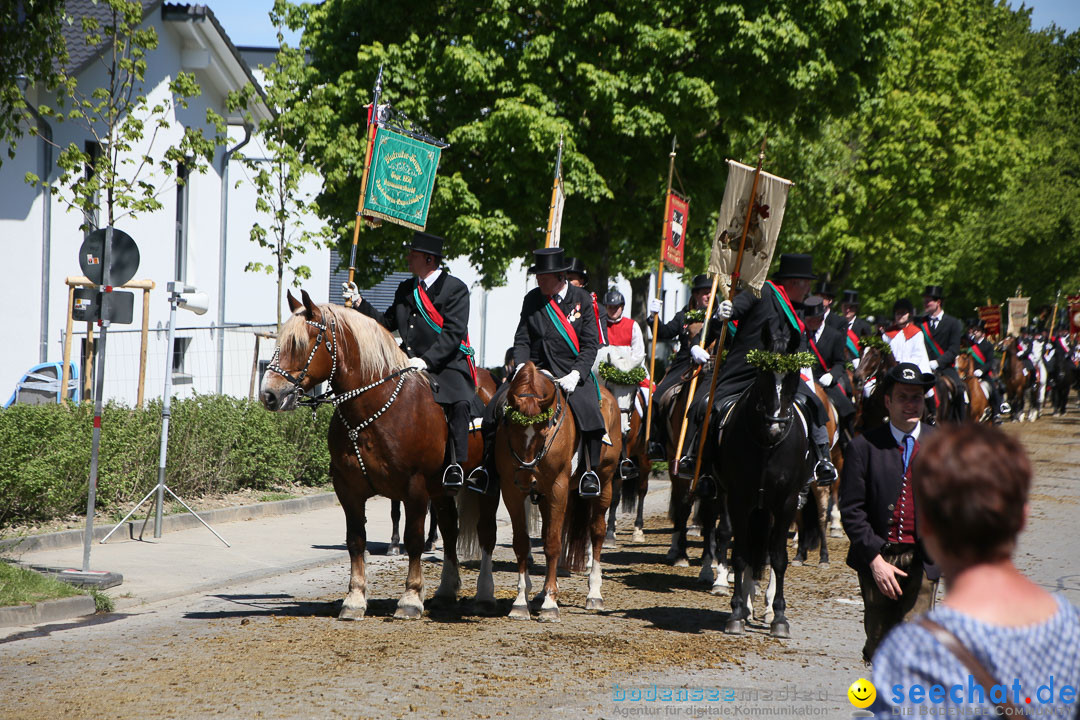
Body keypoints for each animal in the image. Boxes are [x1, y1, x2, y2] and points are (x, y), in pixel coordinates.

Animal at [261, 293, 501, 621]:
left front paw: (410, 598)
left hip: (486, 486)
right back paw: (445, 591)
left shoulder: (415, 489)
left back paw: (485, 595)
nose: (268, 395)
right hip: (441, 490)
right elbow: (355, 540)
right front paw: (354, 599)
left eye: (298, 344)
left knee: (486, 533)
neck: (373, 407)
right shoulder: (348, 490)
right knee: (450, 530)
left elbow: (413, 540)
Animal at [494, 362, 622, 621]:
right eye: (511, 428)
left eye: (543, 432)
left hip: (605, 481)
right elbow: (522, 543)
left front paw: (550, 605)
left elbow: (553, 543)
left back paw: (594, 594)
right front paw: (521, 601)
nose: (526, 478)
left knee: (597, 531)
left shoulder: (557, 488)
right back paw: (542, 594)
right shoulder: (511, 491)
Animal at [699, 321, 812, 634]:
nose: (776, 427)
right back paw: (748, 604)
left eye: (793, 375)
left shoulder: (786, 503)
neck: (766, 445)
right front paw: (737, 612)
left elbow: (779, 558)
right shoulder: (740, 499)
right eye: (763, 374)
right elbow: (740, 554)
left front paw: (780, 617)